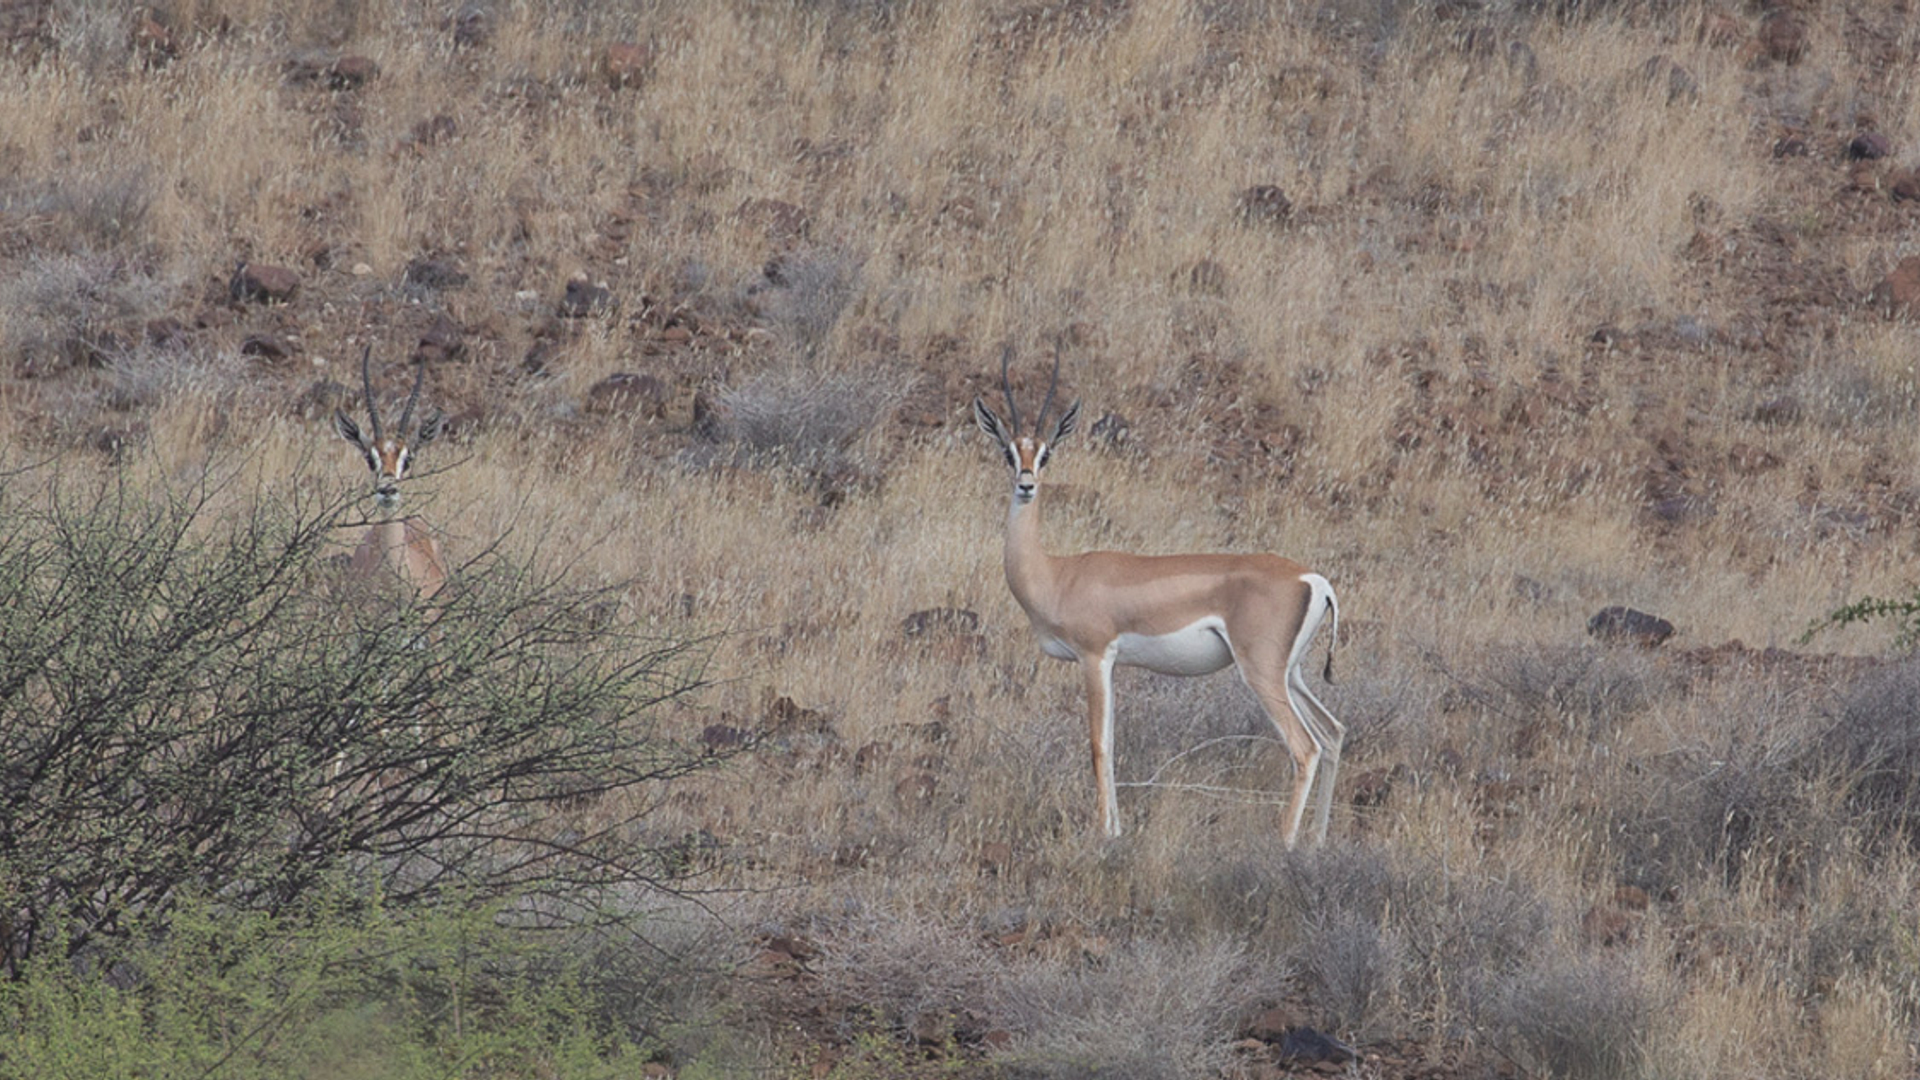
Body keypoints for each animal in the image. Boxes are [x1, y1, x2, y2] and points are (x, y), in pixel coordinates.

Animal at [973, 353, 1343, 846]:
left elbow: (1099, 744)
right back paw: (1317, 842)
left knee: (1306, 748)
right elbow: (1111, 742)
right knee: (1334, 733)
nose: (1026, 484)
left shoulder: (1094, 656)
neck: (1058, 573)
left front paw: (1105, 835)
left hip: (1261, 673)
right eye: (1008, 452)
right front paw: (1117, 828)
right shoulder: (1110, 665)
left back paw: (1283, 844)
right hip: (1293, 674)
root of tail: (1313, 579)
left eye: (1046, 452)